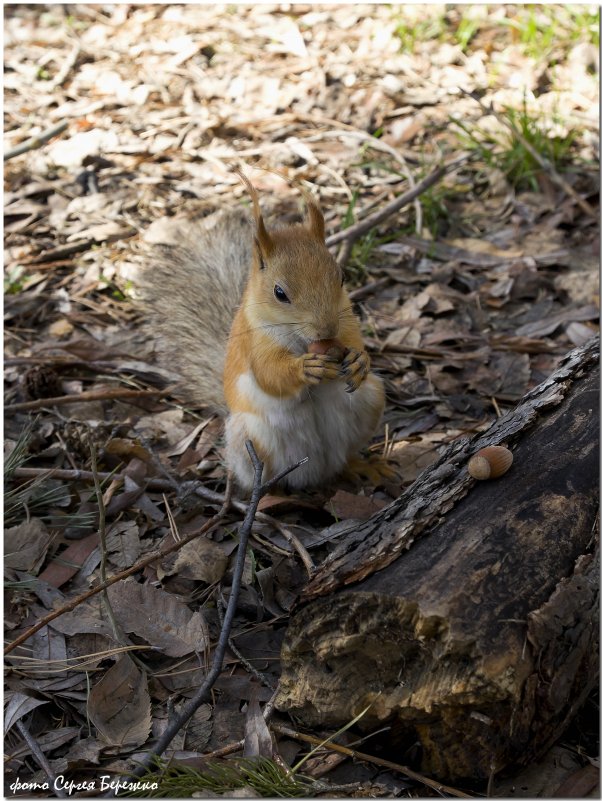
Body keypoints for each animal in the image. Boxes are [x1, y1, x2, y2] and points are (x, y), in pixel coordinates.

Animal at [142, 172, 382, 490]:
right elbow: (269, 373)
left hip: (371, 400)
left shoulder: (348, 320)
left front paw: (359, 360)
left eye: (341, 277)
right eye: (279, 293)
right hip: (251, 438)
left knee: (346, 457)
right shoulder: (255, 340)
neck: (302, 341)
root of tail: (318, 470)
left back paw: (361, 467)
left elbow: (355, 342)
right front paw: (306, 368)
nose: (326, 329)